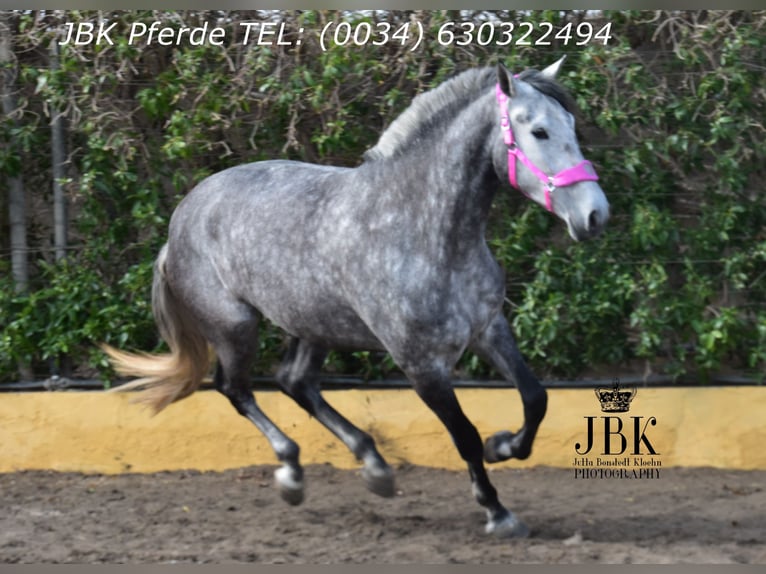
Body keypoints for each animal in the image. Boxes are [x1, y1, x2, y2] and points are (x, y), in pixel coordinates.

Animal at [104, 57, 609, 538]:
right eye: (538, 130)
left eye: (571, 124)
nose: (594, 215)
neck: (424, 232)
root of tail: (177, 228)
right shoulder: (420, 364)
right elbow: (464, 435)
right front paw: (498, 512)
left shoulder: (489, 328)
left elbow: (536, 398)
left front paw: (504, 445)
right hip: (235, 327)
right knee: (235, 389)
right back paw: (292, 472)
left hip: (312, 324)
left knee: (295, 382)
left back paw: (374, 466)